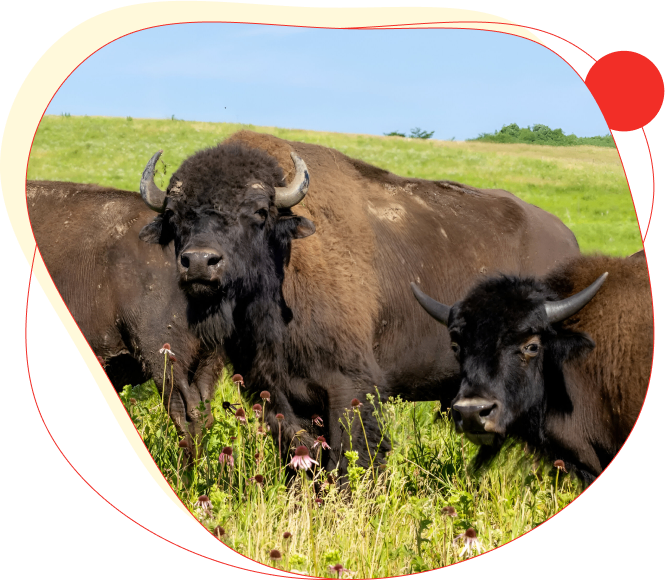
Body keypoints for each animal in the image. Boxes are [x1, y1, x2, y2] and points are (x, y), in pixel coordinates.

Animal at [137, 130, 581, 474]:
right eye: (175, 215)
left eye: (259, 212)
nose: (200, 262)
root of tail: (569, 240)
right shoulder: (277, 393)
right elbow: (301, 456)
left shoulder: (350, 385)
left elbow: (354, 456)